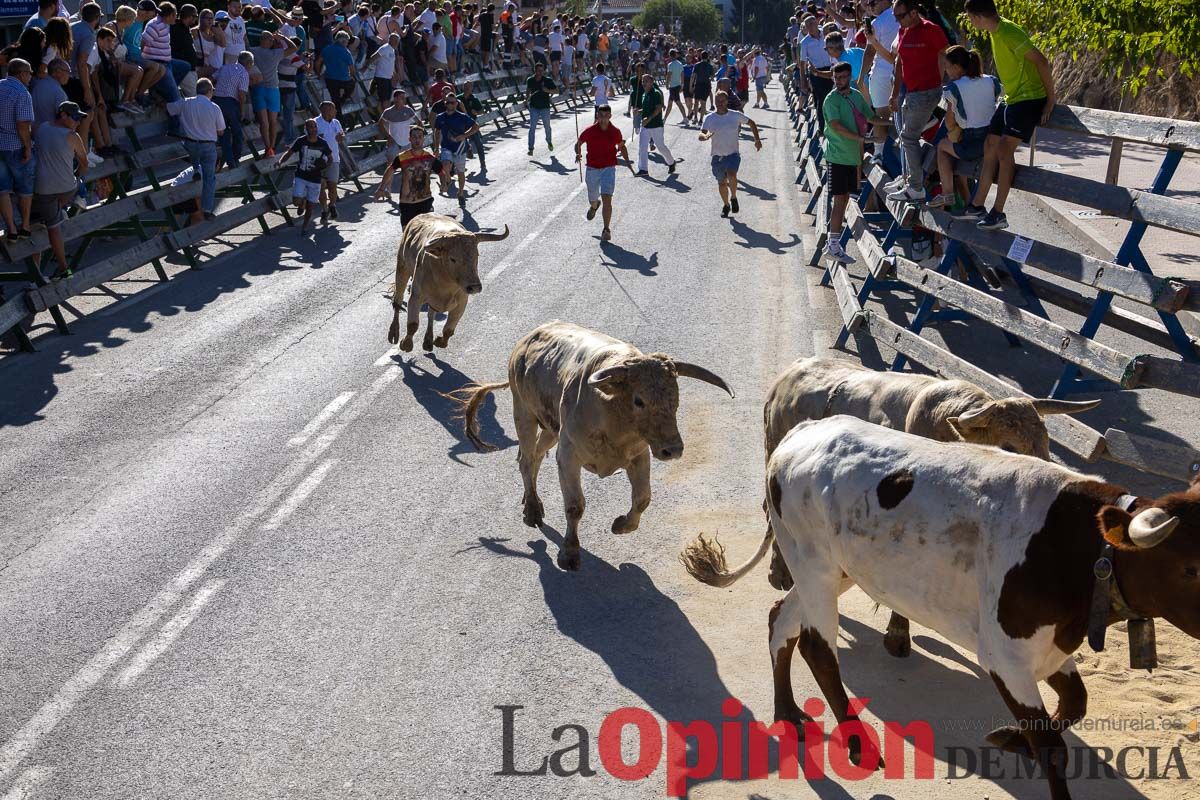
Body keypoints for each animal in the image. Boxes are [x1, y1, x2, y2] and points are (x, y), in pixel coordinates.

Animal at [386, 212, 508, 350]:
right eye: (453, 258)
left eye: (476, 255)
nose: (475, 287)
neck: (446, 281)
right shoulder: (416, 297)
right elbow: (413, 325)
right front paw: (405, 344)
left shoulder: (461, 302)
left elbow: (448, 329)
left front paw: (439, 341)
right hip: (402, 268)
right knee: (398, 300)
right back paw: (394, 332)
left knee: (431, 314)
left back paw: (428, 341)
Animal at [448, 321, 729, 573]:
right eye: (639, 400)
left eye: (676, 398)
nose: (673, 449)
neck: (611, 413)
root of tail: (528, 339)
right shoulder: (568, 457)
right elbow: (575, 506)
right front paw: (569, 554)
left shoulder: (640, 455)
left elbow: (642, 498)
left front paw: (621, 525)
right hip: (524, 413)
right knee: (526, 459)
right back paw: (532, 511)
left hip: (550, 428)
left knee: (534, 456)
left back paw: (532, 502)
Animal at [686, 417, 1200, 800]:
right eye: (1191, 568)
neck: (1077, 548)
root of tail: (803, 432)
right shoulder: (1003, 655)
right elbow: (1052, 745)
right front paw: (1025, 742)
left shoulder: (1048, 648)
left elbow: (1075, 703)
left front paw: (1011, 739)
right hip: (814, 565)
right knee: (817, 648)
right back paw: (858, 745)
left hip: (836, 569)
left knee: (781, 620)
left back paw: (788, 711)